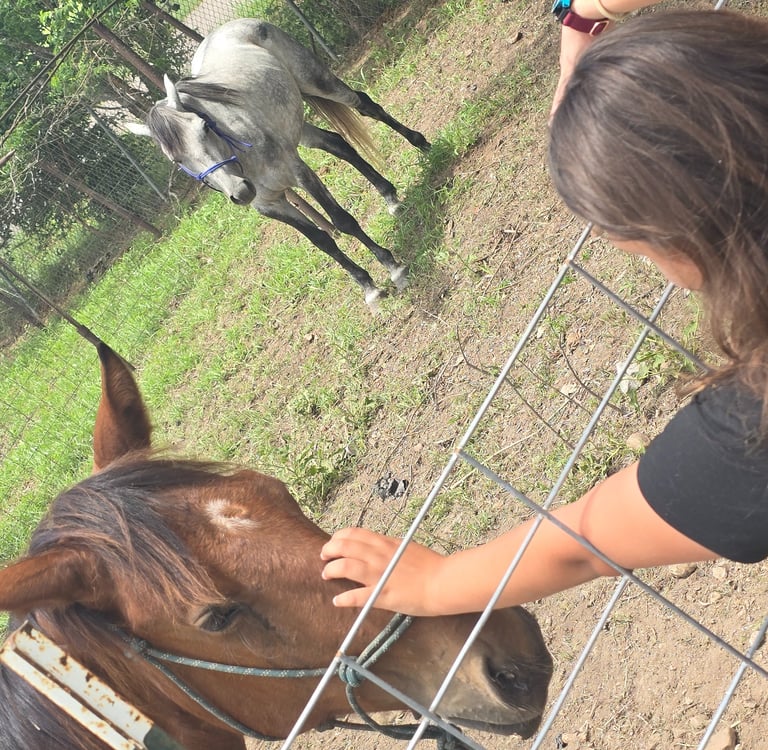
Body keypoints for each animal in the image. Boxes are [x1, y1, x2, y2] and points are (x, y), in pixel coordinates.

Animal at [128, 19, 431, 307]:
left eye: (204, 126)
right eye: (177, 160)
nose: (240, 192)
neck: (244, 158)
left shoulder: (299, 174)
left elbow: (343, 221)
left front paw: (393, 268)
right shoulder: (270, 206)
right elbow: (322, 241)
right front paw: (368, 288)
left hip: (320, 84)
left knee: (366, 106)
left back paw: (421, 144)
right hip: (297, 127)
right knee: (336, 143)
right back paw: (389, 195)